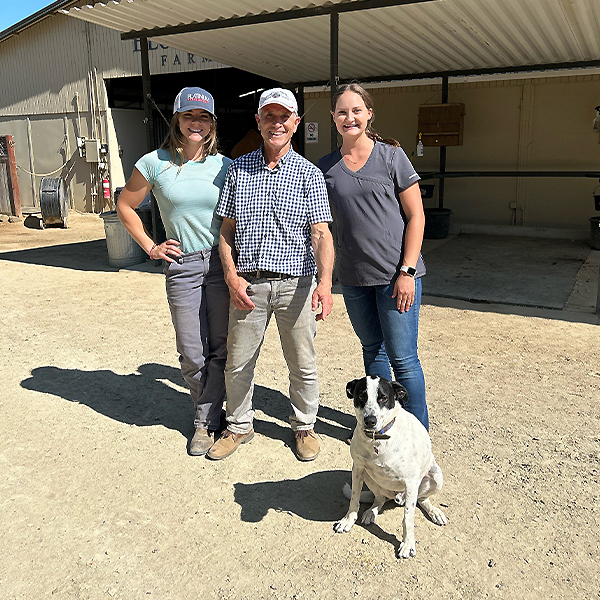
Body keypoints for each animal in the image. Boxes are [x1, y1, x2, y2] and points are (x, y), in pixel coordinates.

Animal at [336, 376, 448, 556]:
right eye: (361, 396)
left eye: (383, 398)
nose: (370, 421)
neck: (378, 439)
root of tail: (397, 497)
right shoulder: (358, 468)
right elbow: (354, 498)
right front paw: (348, 520)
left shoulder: (411, 482)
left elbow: (408, 518)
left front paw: (408, 544)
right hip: (369, 476)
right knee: (380, 498)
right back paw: (371, 512)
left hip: (436, 477)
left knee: (422, 499)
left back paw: (434, 512)